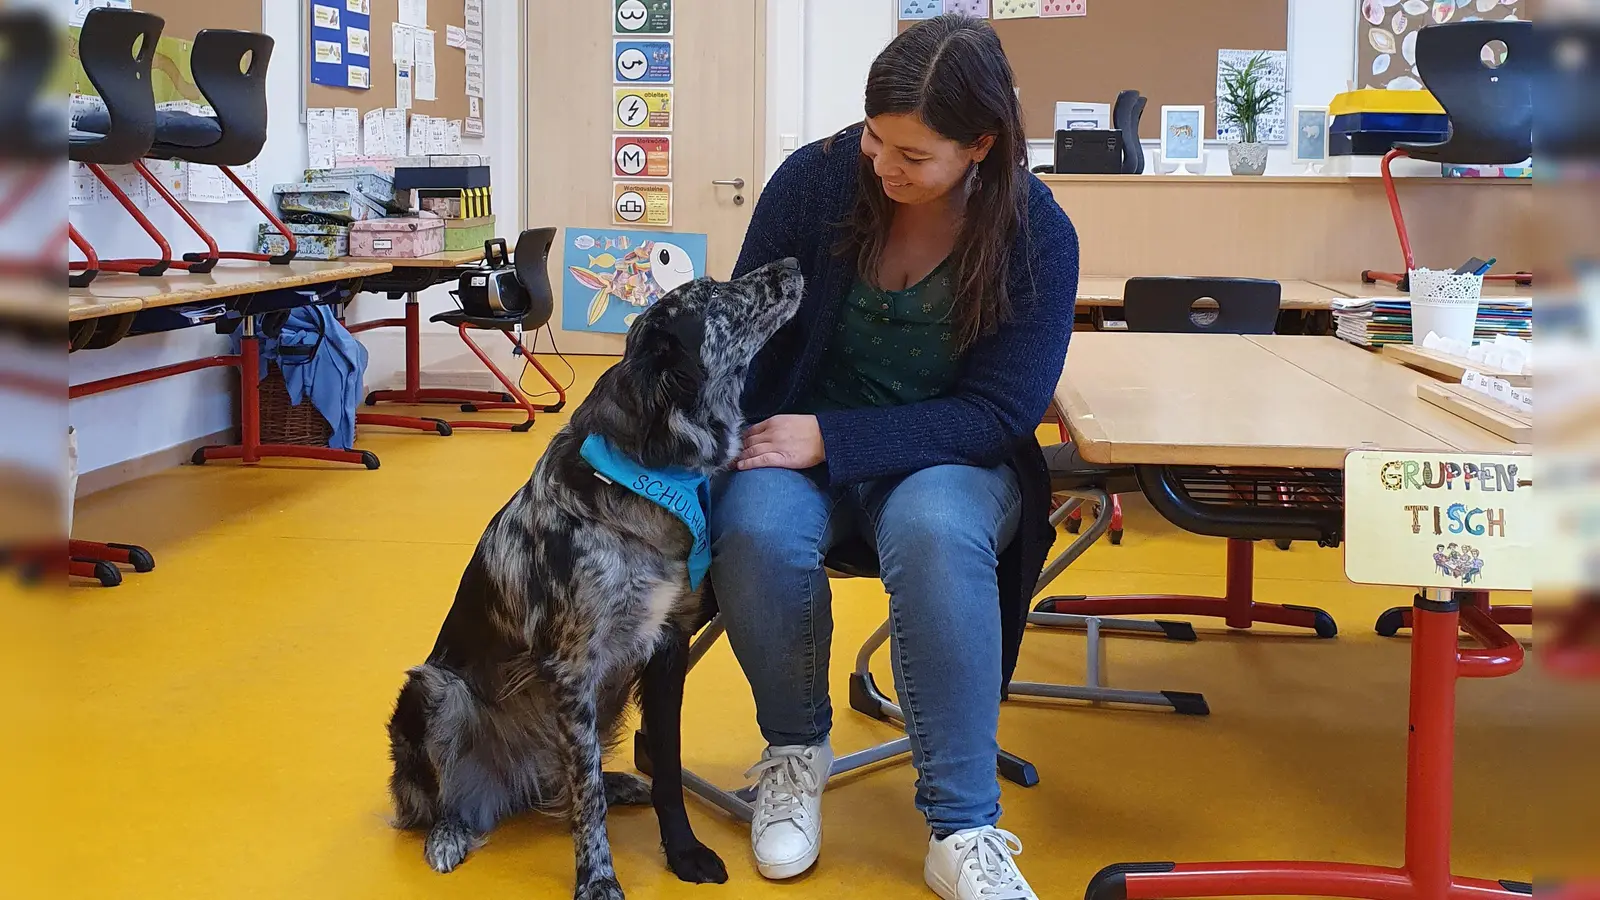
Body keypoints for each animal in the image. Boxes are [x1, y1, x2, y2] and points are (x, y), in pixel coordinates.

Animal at [387, 256, 800, 890]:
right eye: (714, 295)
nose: (793, 263)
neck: (640, 481)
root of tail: (513, 787)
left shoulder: (666, 647)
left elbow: (666, 771)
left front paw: (683, 853)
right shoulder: (572, 667)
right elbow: (586, 801)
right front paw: (598, 880)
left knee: (566, 780)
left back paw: (617, 781)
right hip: (433, 689)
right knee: (443, 801)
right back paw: (450, 831)